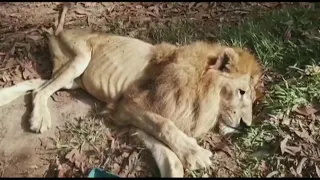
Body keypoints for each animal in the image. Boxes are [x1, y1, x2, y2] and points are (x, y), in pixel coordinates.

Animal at [0, 2, 262, 177]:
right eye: (241, 92)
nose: (247, 125)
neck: (201, 90)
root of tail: (59, 30)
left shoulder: (134, 113)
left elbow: (169, 156)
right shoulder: (130, 104)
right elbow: (165, 126)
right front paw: (196, 154)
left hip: (71, 80)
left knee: (36, 84)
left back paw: (7, 98)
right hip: (80, 57)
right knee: (40, 90)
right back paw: (39, 118)